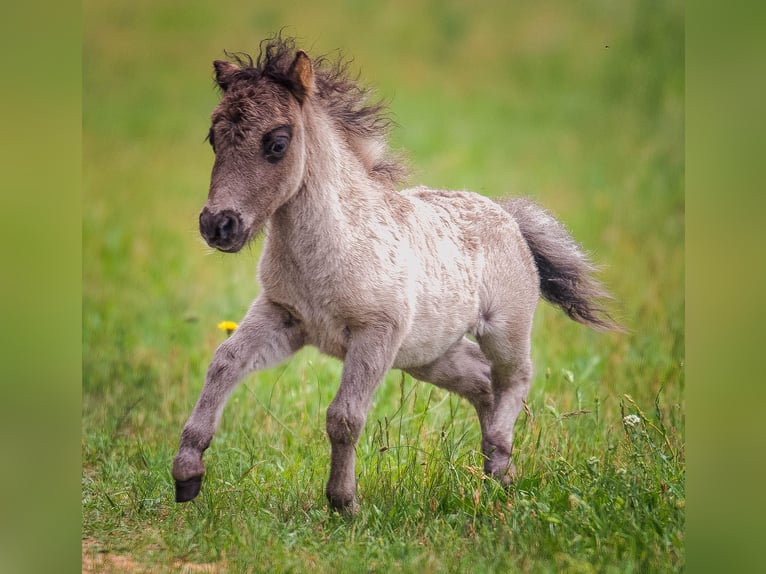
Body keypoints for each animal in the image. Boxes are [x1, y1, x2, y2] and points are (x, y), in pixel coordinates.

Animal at [172, 36, 621, 514]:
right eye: (213, 136)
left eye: (277, 143)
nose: (218, 225)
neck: (329, 249)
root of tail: (508, 215)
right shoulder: (282, 315)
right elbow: (224, 363)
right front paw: (187, 474)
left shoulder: (376, 333)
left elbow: (344, 417)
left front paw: (344, 503)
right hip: (428, 353)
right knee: (482, 381)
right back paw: (496, 475)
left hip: (504, 330)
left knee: (514, 377)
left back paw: (499, 461)